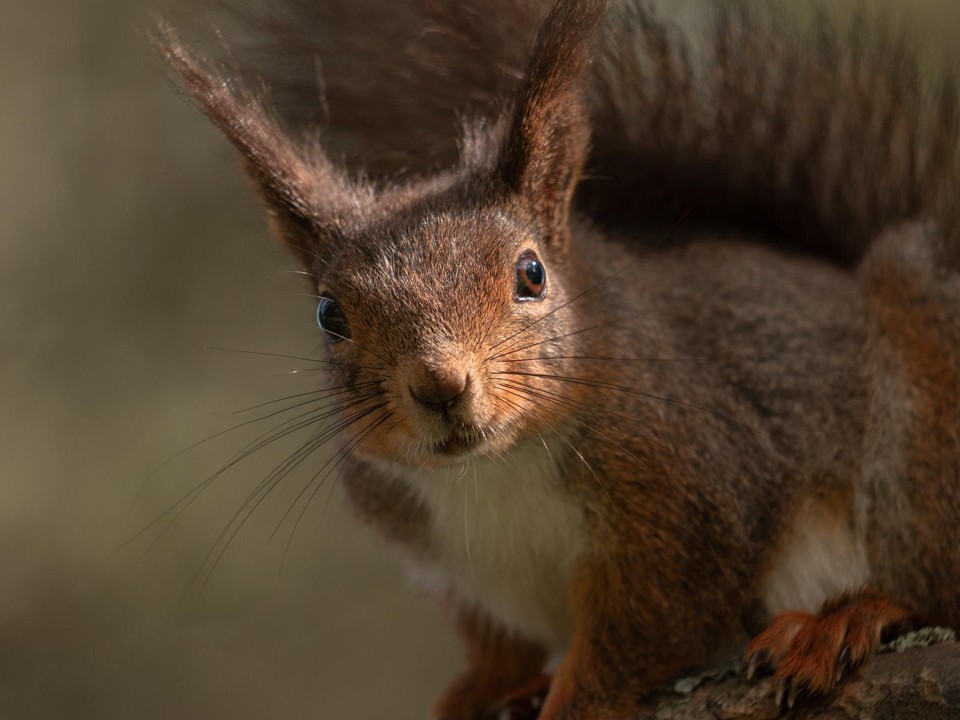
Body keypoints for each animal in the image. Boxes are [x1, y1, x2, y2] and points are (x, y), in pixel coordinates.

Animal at [159, 0, 960, 716]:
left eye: (532, 273)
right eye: (329, 316)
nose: (440, 385)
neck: (493, 471)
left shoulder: (696, 493)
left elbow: (645, 626)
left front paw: (575, 697)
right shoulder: (437, 550)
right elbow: (498, 646)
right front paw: (478, 692)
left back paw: (846, 619)